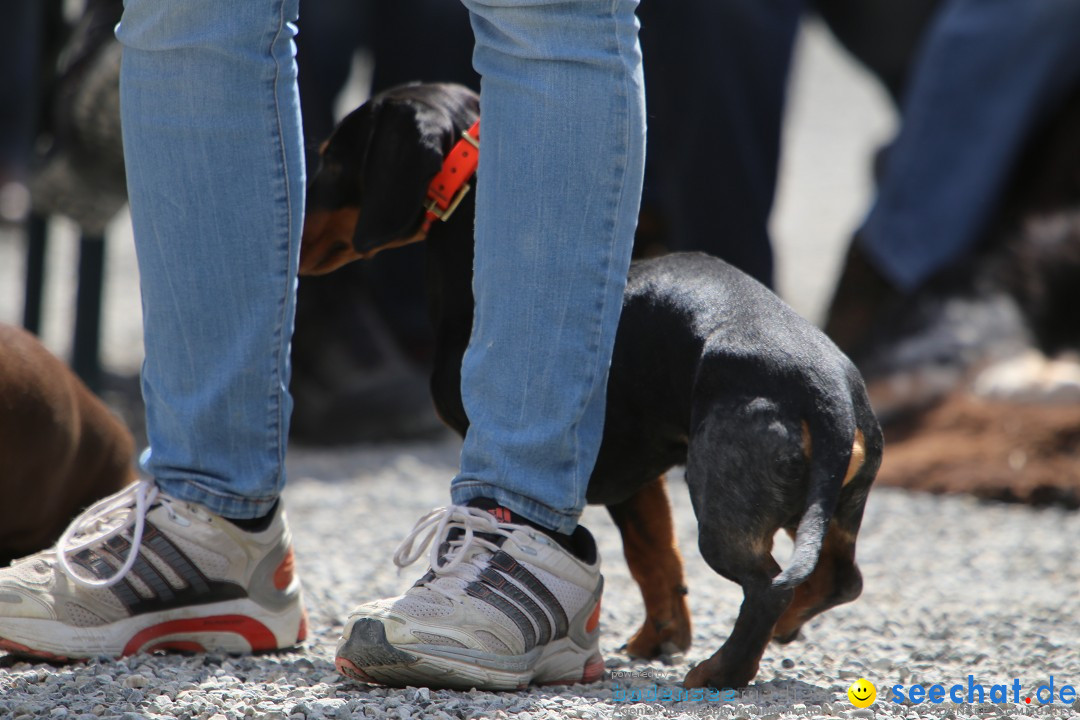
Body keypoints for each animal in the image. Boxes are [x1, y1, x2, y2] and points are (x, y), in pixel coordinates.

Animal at [300, 83, 881, 686]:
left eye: (333, 158)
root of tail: (827, 396)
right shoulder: (637, 480)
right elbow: (655, 558)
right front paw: (659, 639)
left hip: (724, 508)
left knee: (767, 587)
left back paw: (720, 670)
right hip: (830, 507)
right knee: (834, 579)